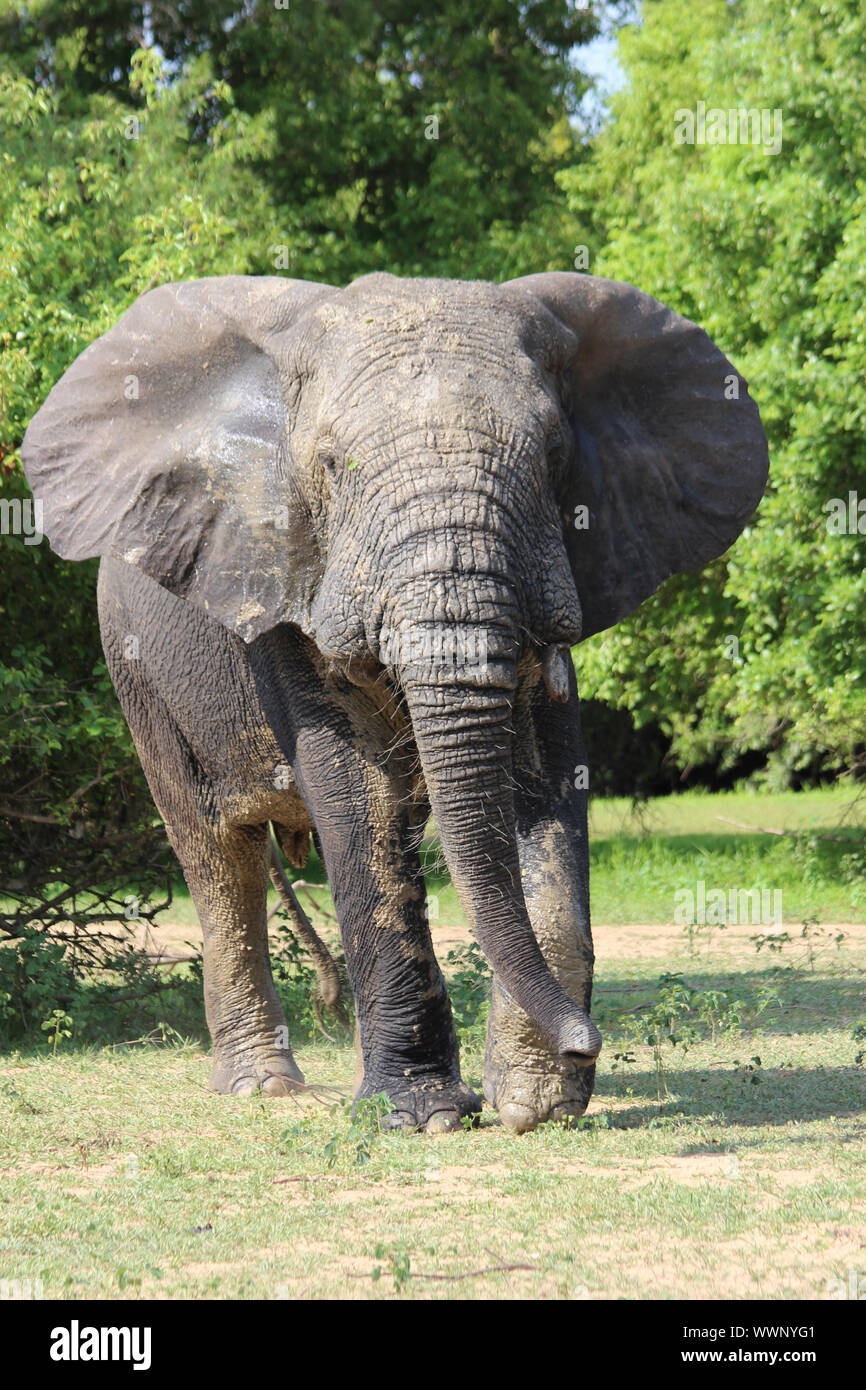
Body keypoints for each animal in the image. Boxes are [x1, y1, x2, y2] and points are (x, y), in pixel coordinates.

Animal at [21, 271, 769, 1133]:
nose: (590, 1041)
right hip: (135, 668)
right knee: (218, 858)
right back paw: (263, 1086)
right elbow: (358, 794)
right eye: (332, 465)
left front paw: (536, 1104)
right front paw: (426, 1117)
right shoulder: (289, 572)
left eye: (554, 457)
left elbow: (546, 777)